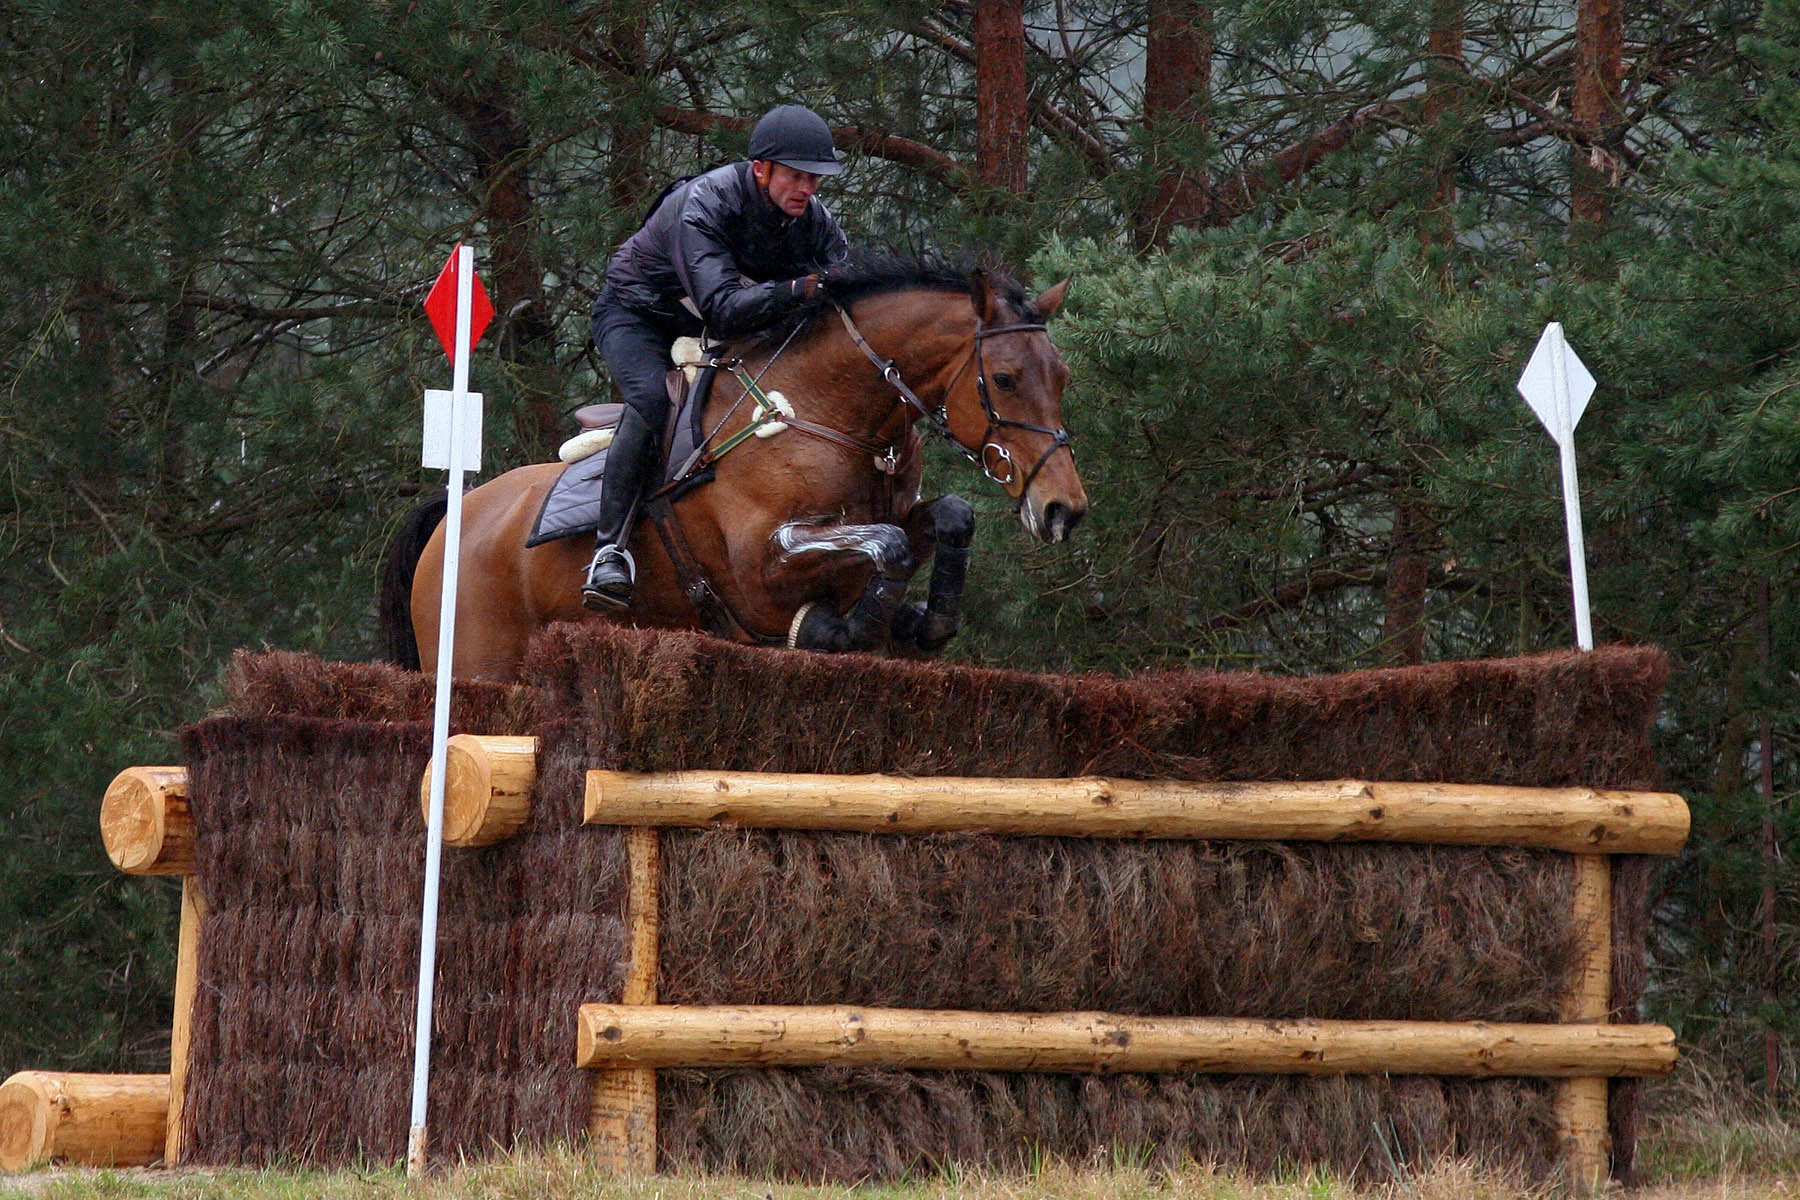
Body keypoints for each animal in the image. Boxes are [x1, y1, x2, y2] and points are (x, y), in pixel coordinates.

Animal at [374, 257, 1087, 680]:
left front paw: (922, 622)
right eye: (1004, 378)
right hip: (476, 666)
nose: (1064, 510)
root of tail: (455, 517)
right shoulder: (758, 571)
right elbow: (882, 546)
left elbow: (945, 519)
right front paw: (836, 626)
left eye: (1062, 377)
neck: (828, 412)